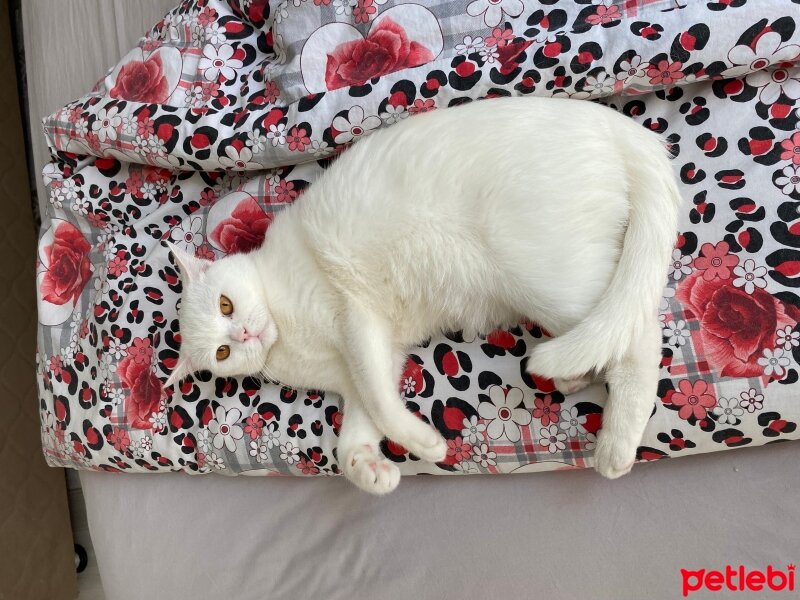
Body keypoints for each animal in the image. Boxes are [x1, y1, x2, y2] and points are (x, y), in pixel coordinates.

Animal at [166, 97, 680, 492]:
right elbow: (357, 428)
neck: (289, 339)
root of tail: (614, 124)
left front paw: (425, 444)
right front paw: (370, 470)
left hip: (543, 274)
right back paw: (575, 380)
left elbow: (380, 403)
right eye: (222, 351)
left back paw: (615, 446)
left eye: (226, 304)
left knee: (639, 336)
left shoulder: (358, 321)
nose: (244, 333)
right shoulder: (370, 363)